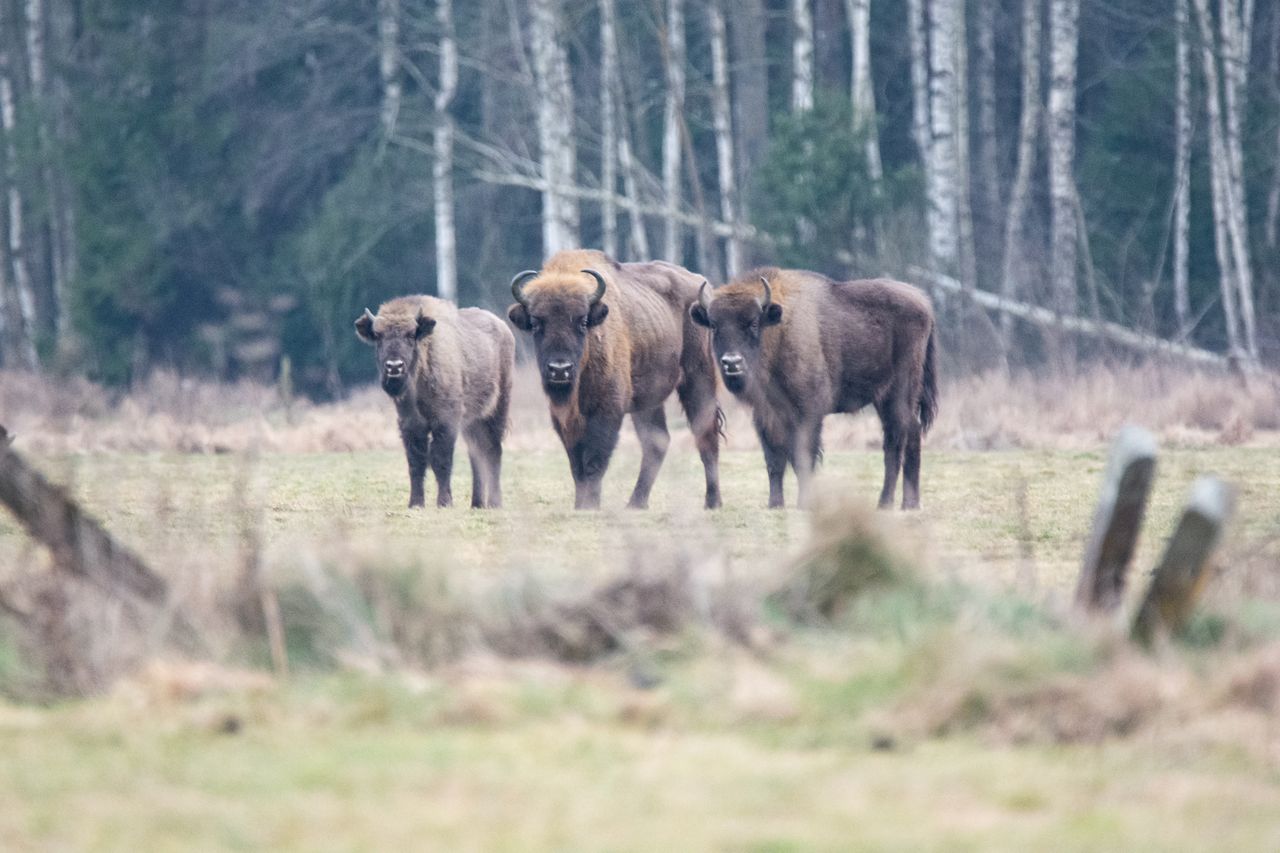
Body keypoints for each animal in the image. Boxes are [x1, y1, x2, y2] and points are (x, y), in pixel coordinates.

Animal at [355, 294, 514, 504]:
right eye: (378, 336)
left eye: (411, 335)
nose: (394, 366)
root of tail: (503, 327)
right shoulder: (410, 423)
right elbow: (416, 461)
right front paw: (415, 503)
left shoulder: (446, 421)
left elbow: (441, 459)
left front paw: (444, 502)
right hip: (472, 422)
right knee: (476, 455)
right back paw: (477, 504)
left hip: (497, 408)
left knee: (493, 450)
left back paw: (495, 503)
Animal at [509, 249, 732, 507]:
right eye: (536, 323)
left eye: (582, 321)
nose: (559, 369)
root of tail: (701, 286)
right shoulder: (564, 418)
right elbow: (576, 464)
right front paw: (580, 504)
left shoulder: (608, 410)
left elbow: (594, 460)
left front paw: (590, 505)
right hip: (648, 401)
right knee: (657, 442)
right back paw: (636, 504)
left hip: (699, 379)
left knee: (706, 435)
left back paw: (712, 502)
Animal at [691, 267, 942, 504]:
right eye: (714, 325)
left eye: (753, 323)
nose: (732, 362)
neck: (777, 331)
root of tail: (924, 303)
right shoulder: (765, 415)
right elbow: (774, 461)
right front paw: (775, 504)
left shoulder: (808, 413)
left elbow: (803, 458)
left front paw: (804, 503)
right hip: (886, 399)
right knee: (903, 436)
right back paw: (903, 503)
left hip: (899, 394)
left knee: (900, 438)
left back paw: (892, 503)